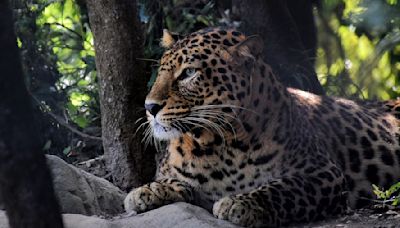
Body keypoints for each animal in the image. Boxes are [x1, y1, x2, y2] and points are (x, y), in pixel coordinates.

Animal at [124, 27, 400, 226]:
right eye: (161, 71)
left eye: (189, 73)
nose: (149, 107)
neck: (218, 145)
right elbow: (175, 181)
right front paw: (147, 191)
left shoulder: (323, 172)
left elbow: (282, 188)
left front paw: (241, 204)